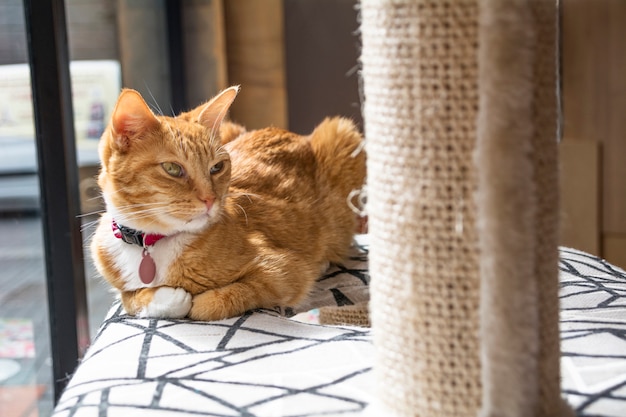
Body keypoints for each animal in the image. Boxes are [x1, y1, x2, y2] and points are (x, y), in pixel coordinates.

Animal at [89, 86, 364, 320]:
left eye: (217, 167)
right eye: (172, 169)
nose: (210, 199)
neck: (150, 243)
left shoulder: (285, 271)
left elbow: (210, 304)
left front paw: (192, 300)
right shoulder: (122, 288)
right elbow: (129, 299)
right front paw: (165, 298)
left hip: (342, 134)